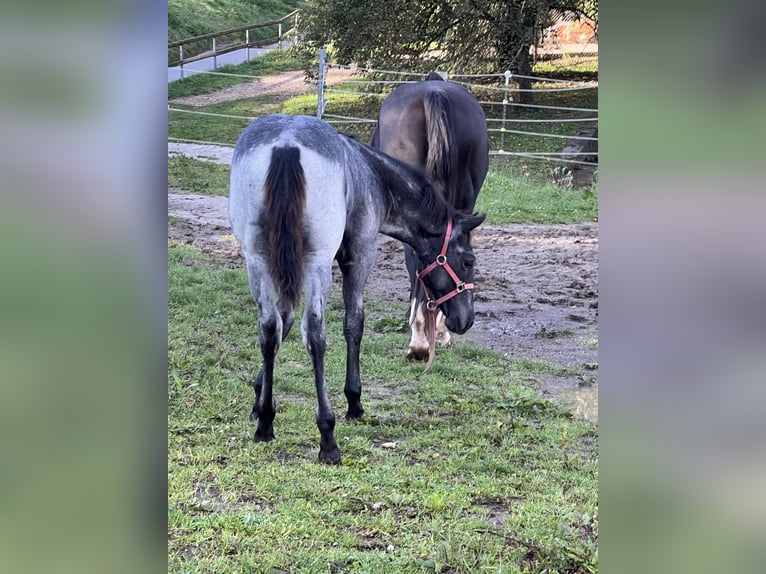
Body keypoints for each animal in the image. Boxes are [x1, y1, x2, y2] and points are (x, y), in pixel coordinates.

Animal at [228, 115, 486, 466]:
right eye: (469, 261)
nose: (465, 319)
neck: (371, 175)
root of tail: (285, 145)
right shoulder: (359, 256)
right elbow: (354, 323)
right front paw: (354, 400)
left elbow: (283, 321)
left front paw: (260, 402)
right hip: (316, 262)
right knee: (316, 334)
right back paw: (327, 437)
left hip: (258, 258)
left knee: (269, 326)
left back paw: (266, 426)